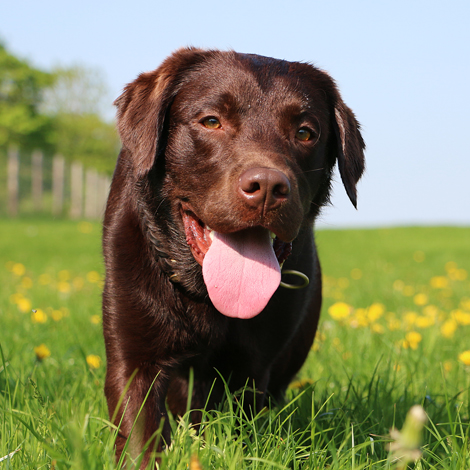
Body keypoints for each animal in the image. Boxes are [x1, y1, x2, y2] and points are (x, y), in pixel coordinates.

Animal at [103, 48, 366, 462]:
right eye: (212, 121)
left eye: (305, 132)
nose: (268, 187)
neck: (206, 295)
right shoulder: (134, 358)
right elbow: (139, 438)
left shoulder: (251, 369)